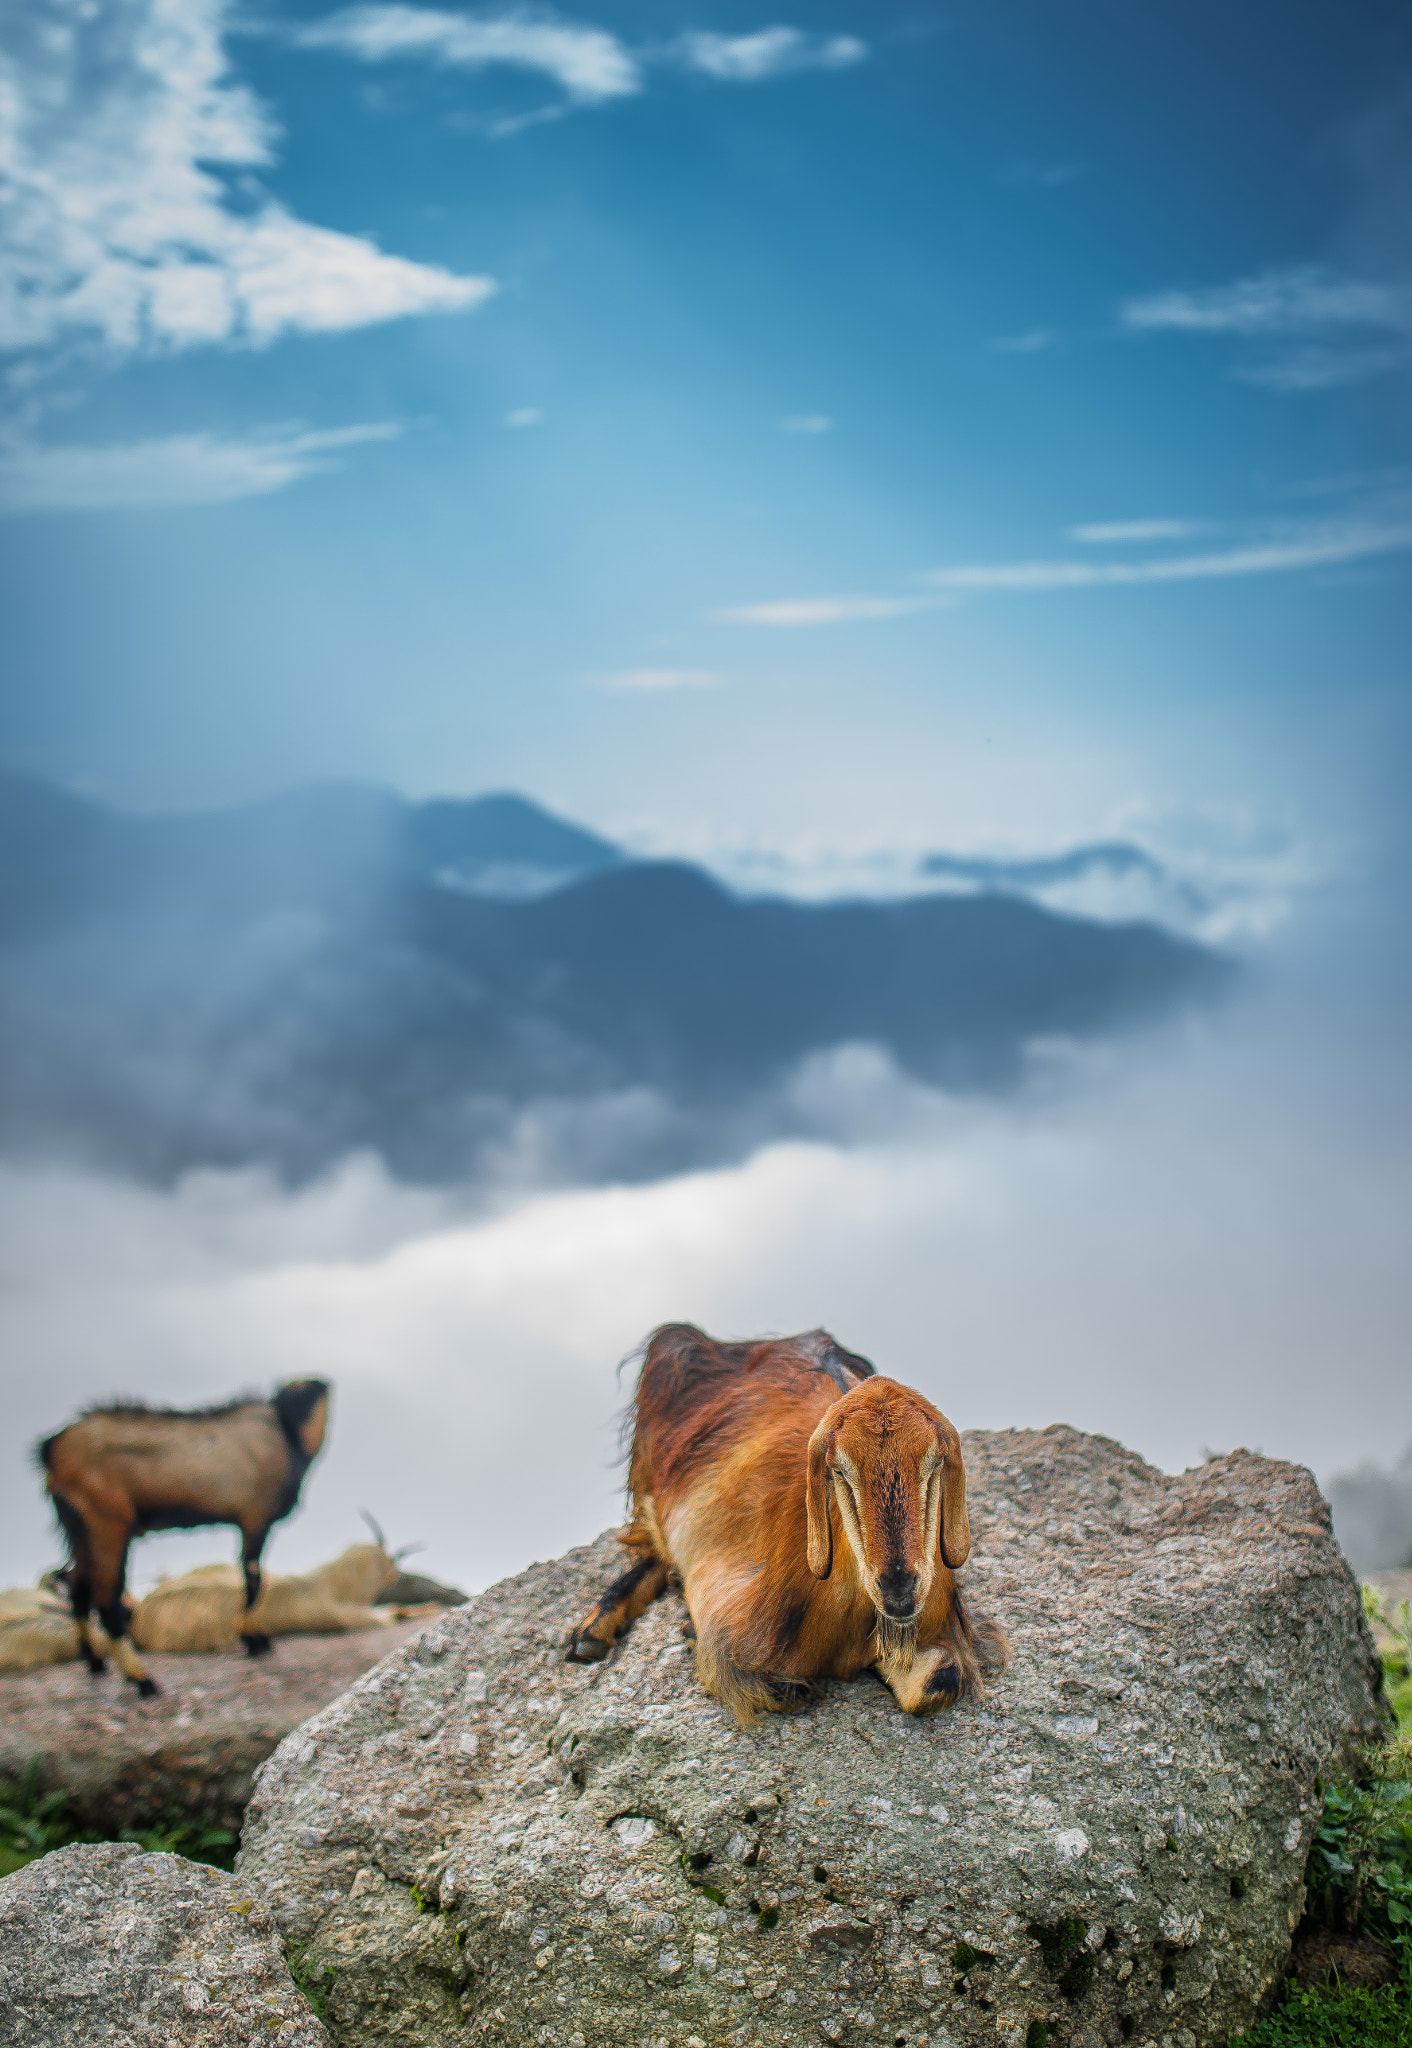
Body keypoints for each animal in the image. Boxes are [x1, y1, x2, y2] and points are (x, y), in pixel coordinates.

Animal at [37, 1384, 329, 1703]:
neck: (286, 1430)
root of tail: (52, 1448)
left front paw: (254, 1638)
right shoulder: (255, 1517)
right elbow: (253, 1577)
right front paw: (255, 1640)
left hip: (77, 1527)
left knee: (78, 1587)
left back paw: (96, 1662)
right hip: (106, 1519)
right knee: (106, 1601)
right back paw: (141, 1679)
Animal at [565, 1327, 1004, 1728]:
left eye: (935, 1462)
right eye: (838, 1469)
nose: (898, 1585)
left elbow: (941, 1681)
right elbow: (784, 1687)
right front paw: (689, 1629)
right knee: (650, 1543)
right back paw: (593, 1631)